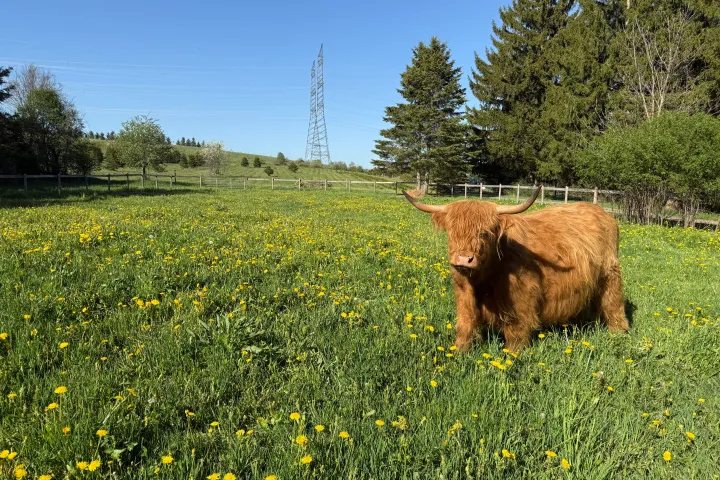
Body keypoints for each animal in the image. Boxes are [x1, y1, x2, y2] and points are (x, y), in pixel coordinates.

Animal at [403, 186, 629, 352]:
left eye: (485, 233)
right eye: (452, 232)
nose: (464, 259)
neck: (483, 279)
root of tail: (603, 213)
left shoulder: (522, 298)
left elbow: (516, 331)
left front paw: (512, 356)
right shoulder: (463, 293)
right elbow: (465, 323)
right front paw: (459, 351)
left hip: (611, 274)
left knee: (613, 303)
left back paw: (618, 333)